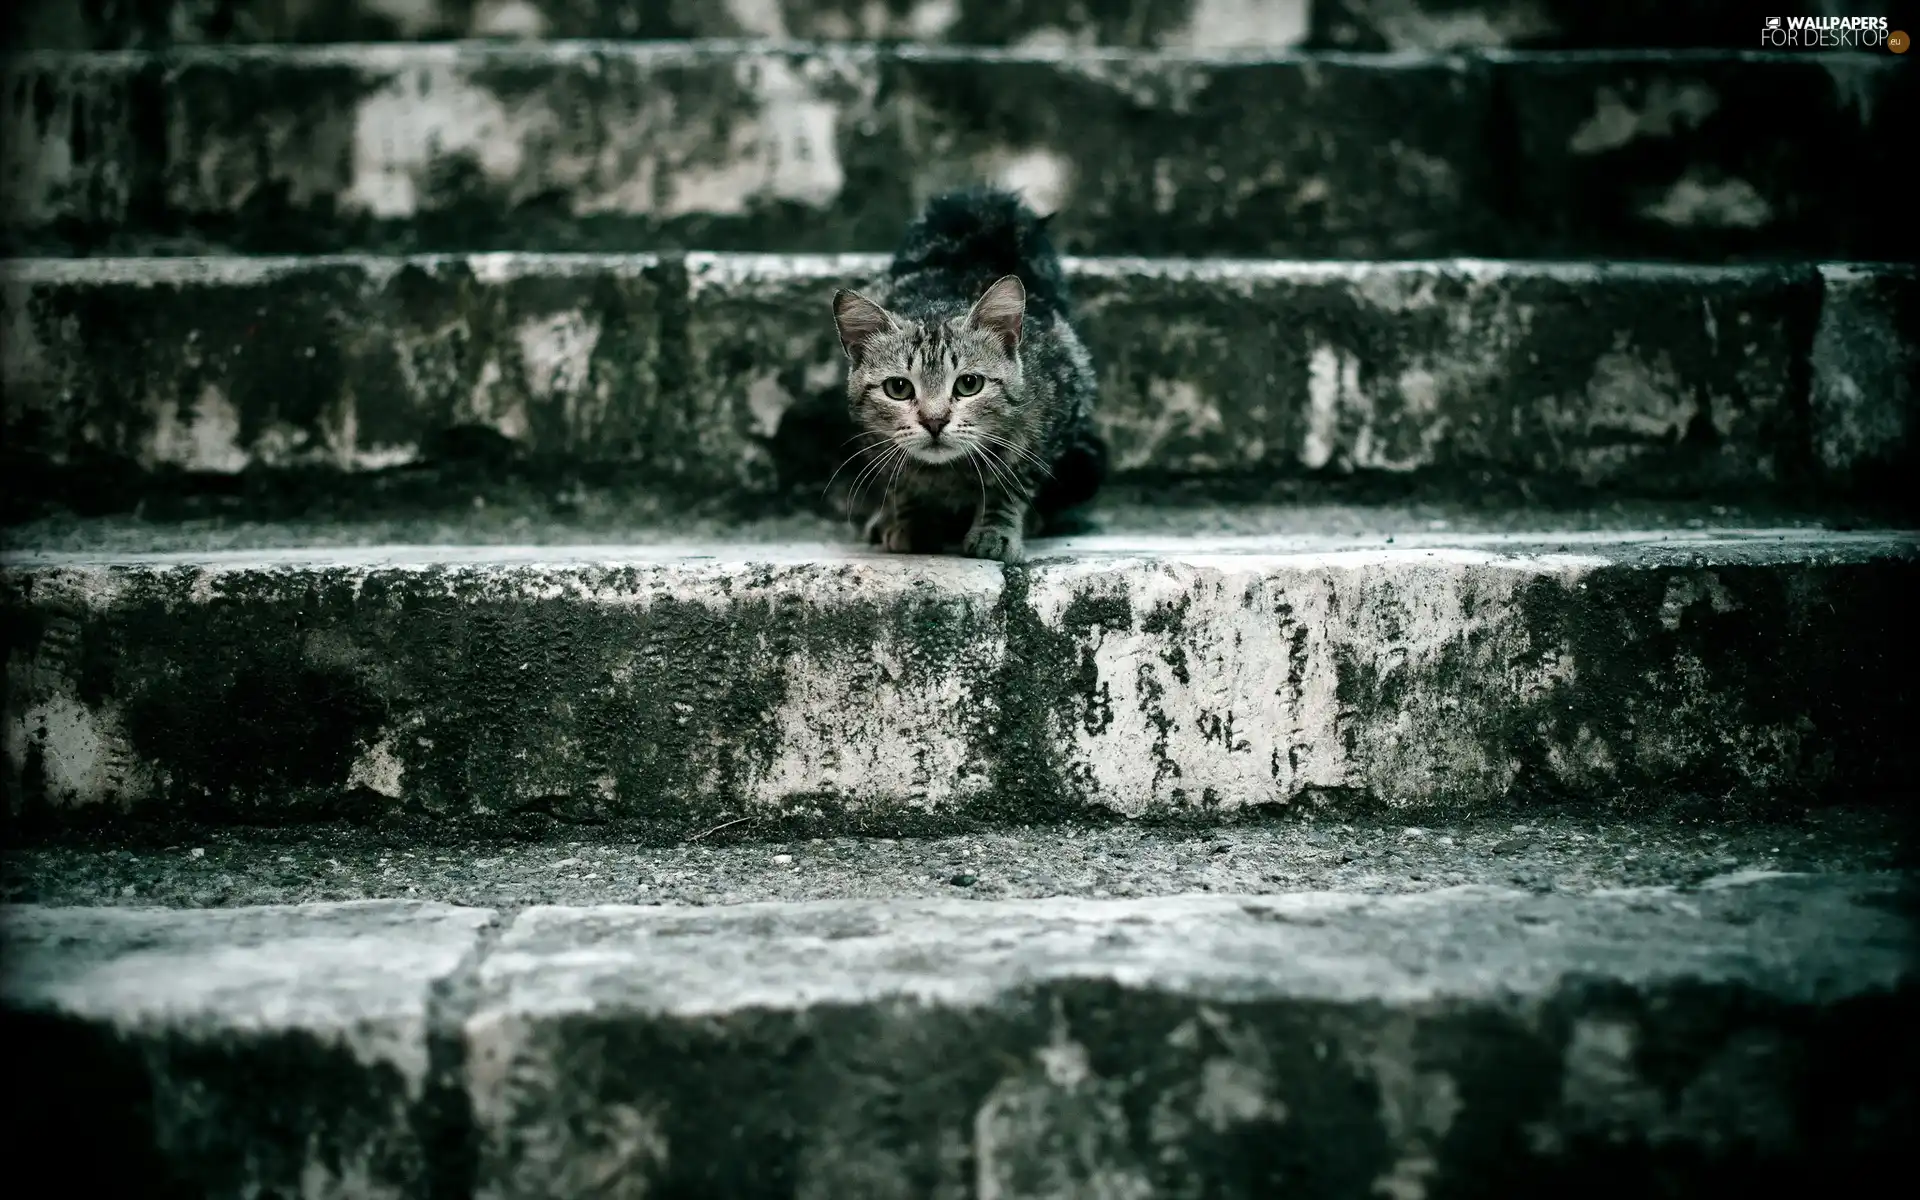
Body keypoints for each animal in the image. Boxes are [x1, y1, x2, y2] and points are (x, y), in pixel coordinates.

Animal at [829, 187, 1113, 560]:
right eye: (898, 388)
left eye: (969, 384)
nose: (934, 421)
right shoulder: (872, 438)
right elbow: (901, 482)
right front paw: (911, 521)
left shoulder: (1054, 417)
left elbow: (1010, 482)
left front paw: (995, 530)